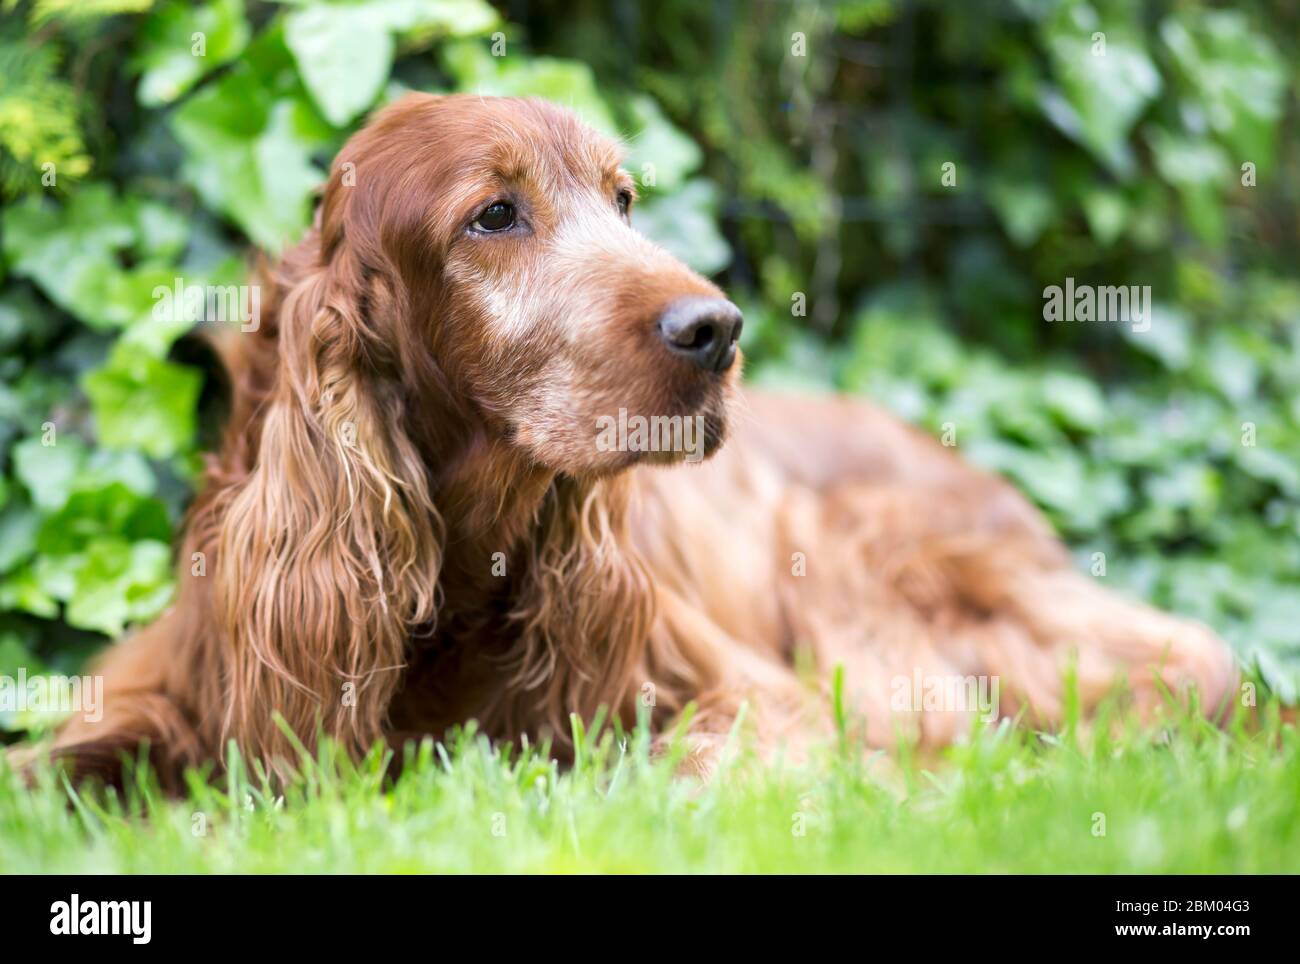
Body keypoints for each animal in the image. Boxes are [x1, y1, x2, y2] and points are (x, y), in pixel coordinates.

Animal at [27, 90, 1227, 789]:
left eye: (623, 199)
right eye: (494, 215)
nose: (718, 330)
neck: (454, 576)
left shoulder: (757, 703)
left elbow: (662, 767)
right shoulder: (179, 682)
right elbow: (55, 770)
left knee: (1191, 671)